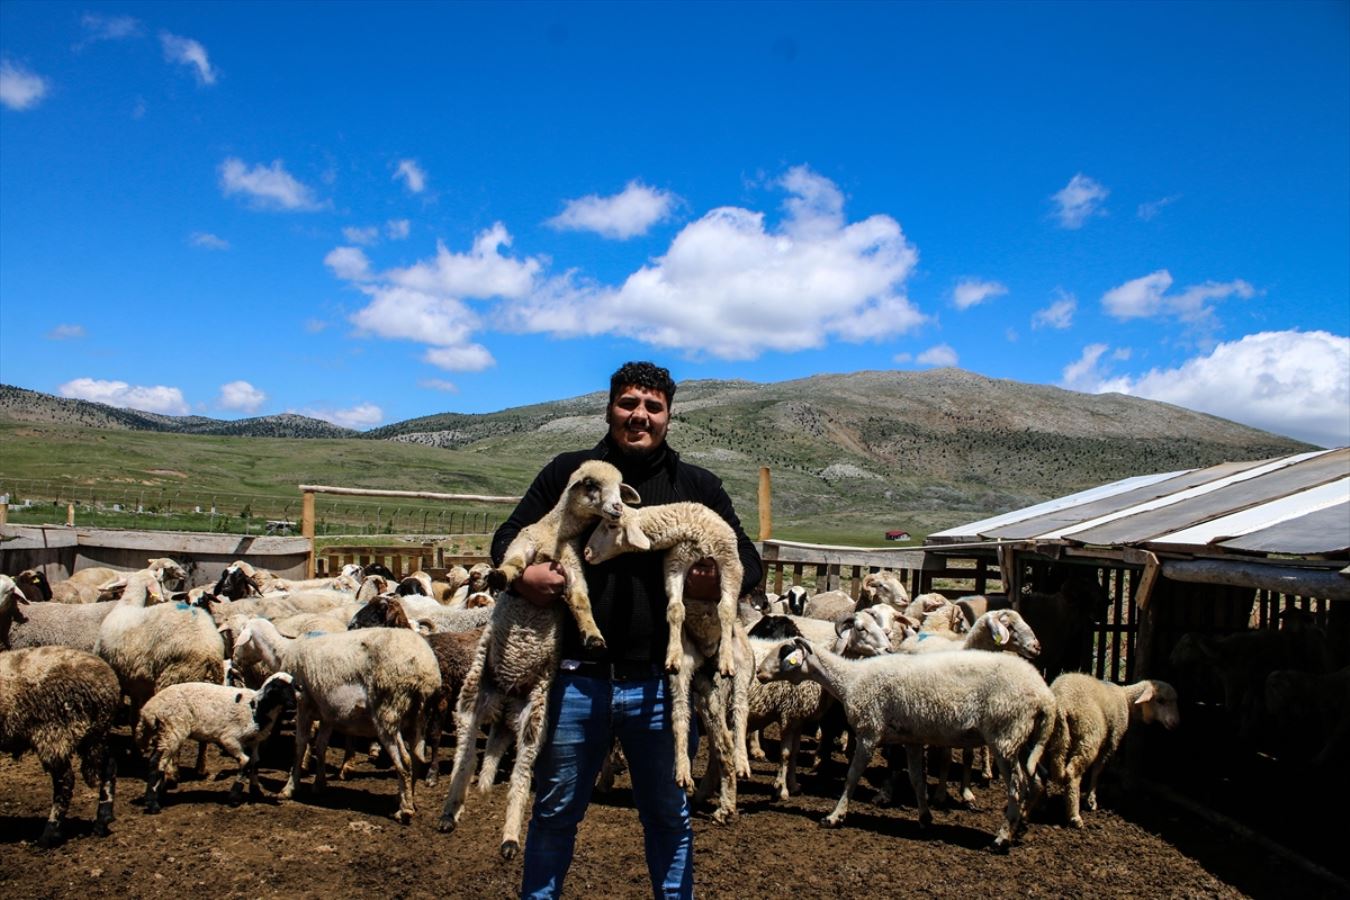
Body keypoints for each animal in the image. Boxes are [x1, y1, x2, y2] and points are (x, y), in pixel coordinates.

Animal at [135, 671, 297, 814]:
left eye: (293, 687)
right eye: (278, 688)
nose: (293, 705)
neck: (257, 708)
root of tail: (149, 709)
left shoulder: (254, 741)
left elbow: (255, 763)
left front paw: (256, 791)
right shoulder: (229, 738)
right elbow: (245, 761)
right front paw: (234, 797)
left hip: (164, 732)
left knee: (157, 760)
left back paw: (158, 795)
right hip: (173, 729)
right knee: (157, 762)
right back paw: (152, 804)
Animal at [761, 634, 1053, 852]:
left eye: (784, 653)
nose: (761, 673)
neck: (850, 680)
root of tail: (1044, 696)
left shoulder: (869, 732)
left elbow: (852, 776)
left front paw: (834, 817)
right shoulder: (912, 739)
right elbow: (916, 779)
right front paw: (925, 818)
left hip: (1005, 736)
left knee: (1018, 786)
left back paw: (1001, 839)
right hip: (1024, 740)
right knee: (1037, 780)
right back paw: (1019, 827)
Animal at [1036, 674, 1177, 831]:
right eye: (1160, 700)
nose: (1175, 723)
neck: (1126, 699)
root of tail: (1061, 704)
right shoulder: (1111, 741)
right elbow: (1097, 770)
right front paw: (1091, 800)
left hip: (1049, 738)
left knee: (1041, 768)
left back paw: (1042, 802)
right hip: (1089, 736)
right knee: (1072, 773)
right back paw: (1075, 816)